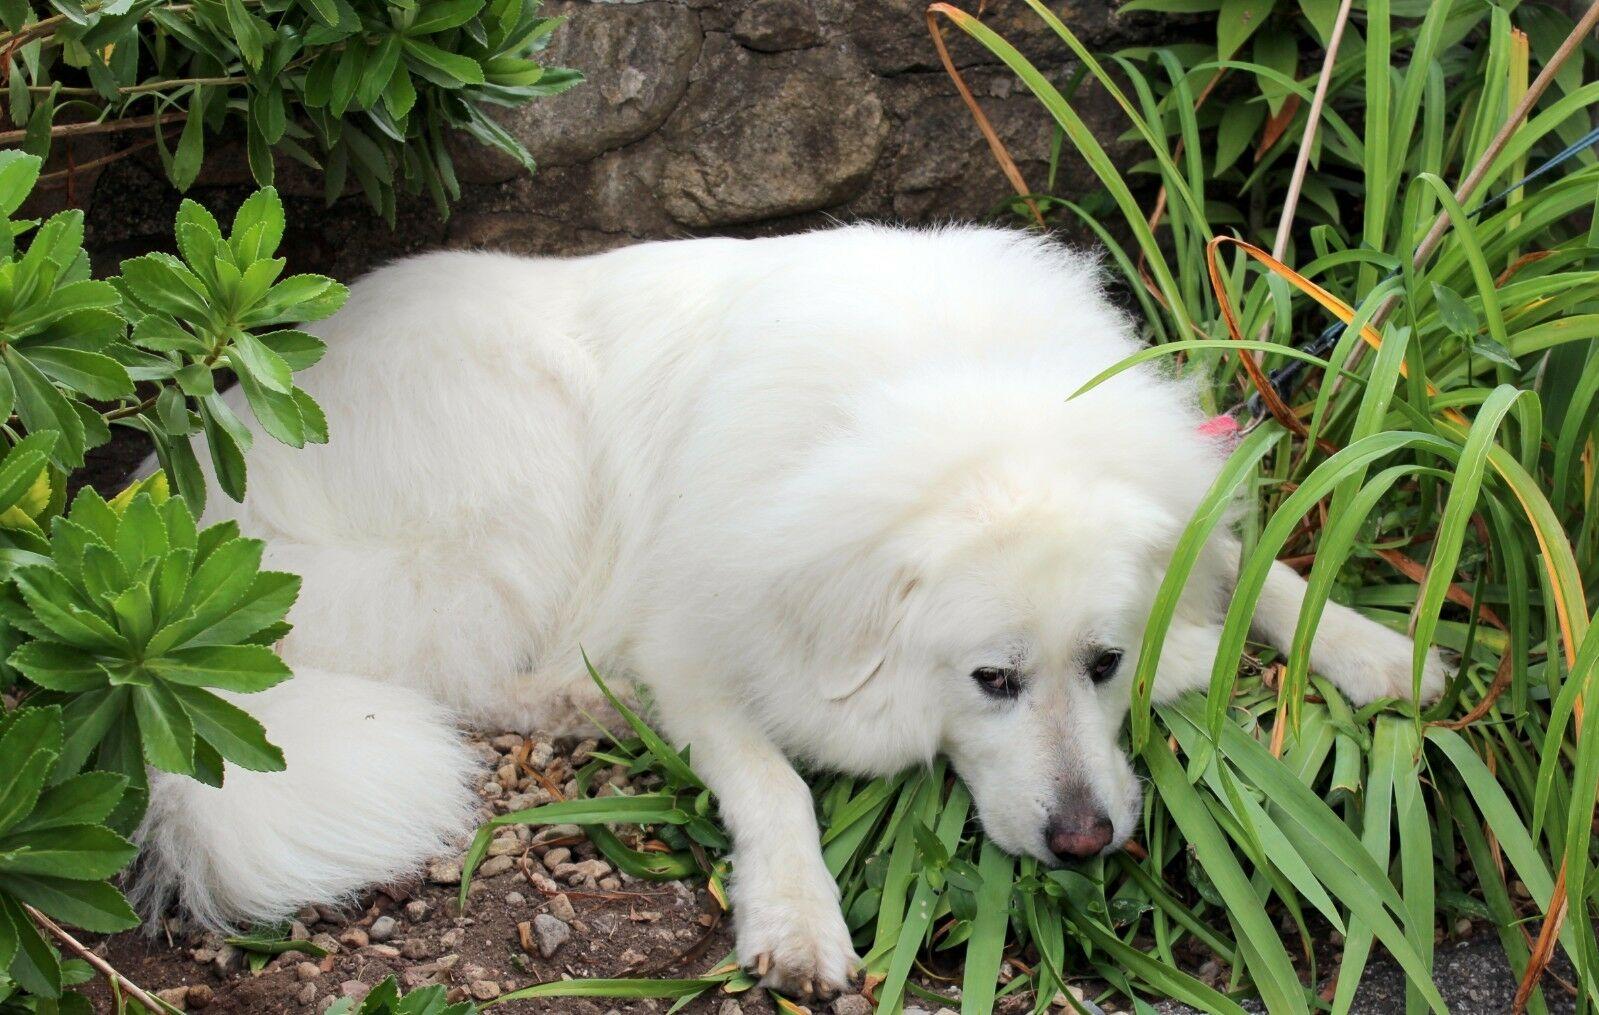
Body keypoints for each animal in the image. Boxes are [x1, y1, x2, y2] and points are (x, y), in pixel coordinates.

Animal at [137, 226, 1458, 997]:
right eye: (992, 680)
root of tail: (198, 498)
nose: (1089, 842)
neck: (954, 390)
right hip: (519, 470)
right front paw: (796, 922)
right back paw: (578, 700)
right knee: (452, 657)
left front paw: (1381, 651)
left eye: (1101, 663)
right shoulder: (690, 640)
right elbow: (773, 783)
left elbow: (1260, 567)